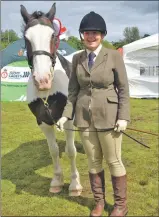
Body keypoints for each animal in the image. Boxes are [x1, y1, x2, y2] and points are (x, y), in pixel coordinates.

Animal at [20, 2, 82, 196]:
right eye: (26, 38)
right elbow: (53, 151)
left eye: (53, 35)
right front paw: (56, 181)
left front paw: (75, 185)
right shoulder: (43, 121)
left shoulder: (68, 119)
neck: (49, 93)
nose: (42, 80)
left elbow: (71, 151)